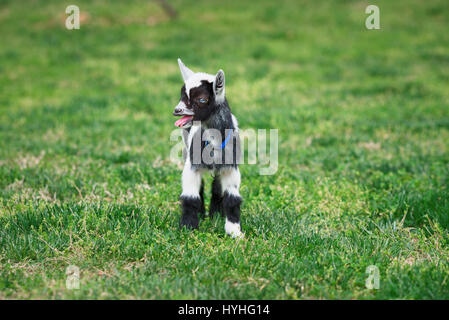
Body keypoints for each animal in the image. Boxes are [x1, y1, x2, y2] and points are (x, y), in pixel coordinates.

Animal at [172, 58, 242, 238]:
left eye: (202, 99)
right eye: (182, 95)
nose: (177, 110)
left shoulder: (230, 168)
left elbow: (232, 198)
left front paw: (234, 231)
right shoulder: (192, 166)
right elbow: (190, 197)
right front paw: (188, 227)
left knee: (217, 186)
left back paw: (216, 214)